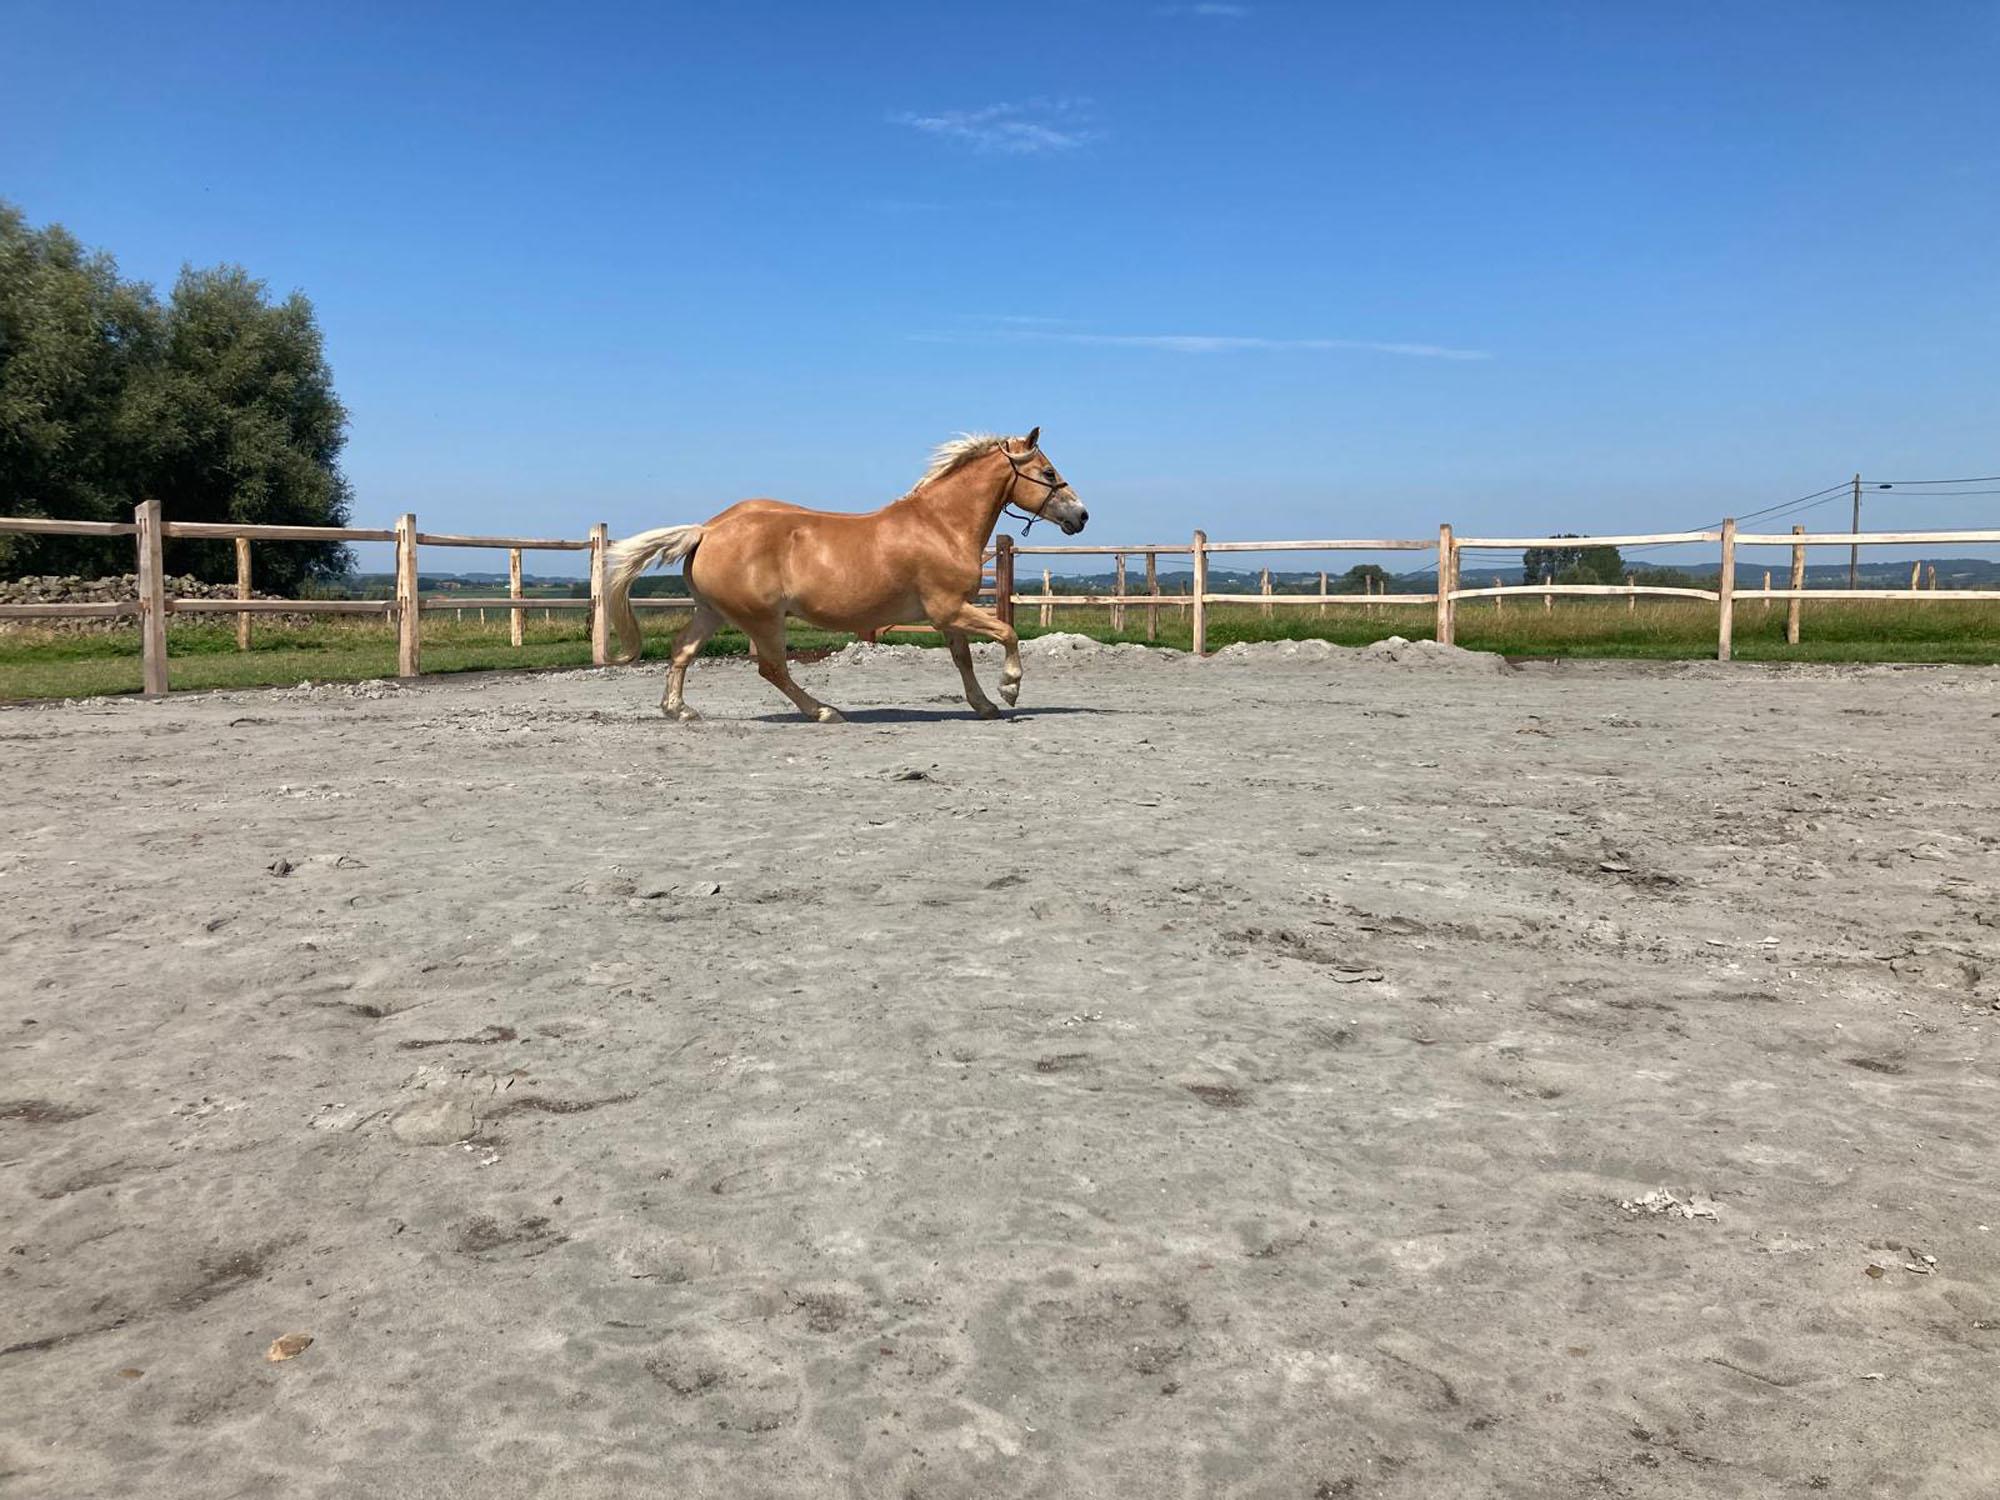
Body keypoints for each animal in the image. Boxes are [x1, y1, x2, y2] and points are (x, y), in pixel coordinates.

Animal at [603, 429, 1087, 722]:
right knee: (772, 668)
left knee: (682, 651)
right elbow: (1007, 632)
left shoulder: (948, 616)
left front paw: (985, 705)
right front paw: (1009, 690)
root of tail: (707, 529)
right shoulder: (949, 608)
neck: (941, 525)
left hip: (714, 611)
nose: (1081, 516)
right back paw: (824, 711)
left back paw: (680, 711)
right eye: (1048, 472)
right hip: (762, 618)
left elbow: (963, 659)